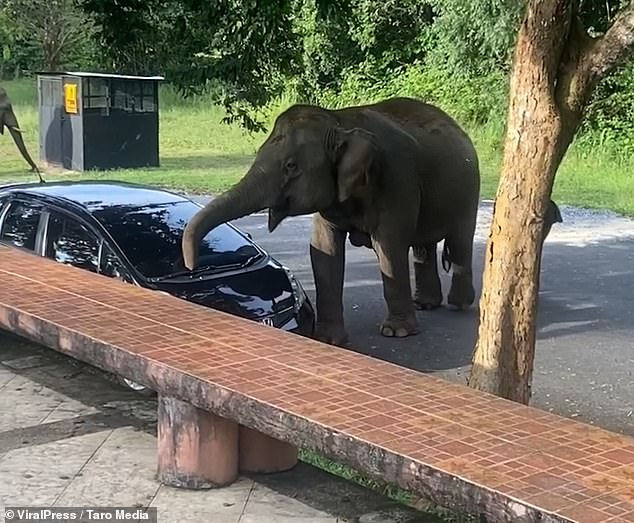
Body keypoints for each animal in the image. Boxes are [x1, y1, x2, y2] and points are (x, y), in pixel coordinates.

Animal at [181, 97, 478, 348]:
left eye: (291, 166)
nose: (191, 266)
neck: (340, 121)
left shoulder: (397, 180)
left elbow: (390, 247)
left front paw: (397, 333)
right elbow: (324, 250)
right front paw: (327, 340)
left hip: (468, 189)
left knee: (460, 241)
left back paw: (459, 305)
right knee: (423, 247)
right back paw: (425, 304)